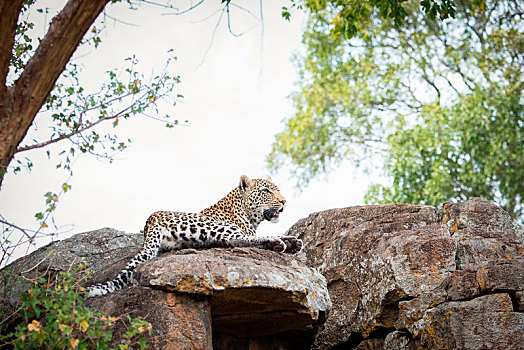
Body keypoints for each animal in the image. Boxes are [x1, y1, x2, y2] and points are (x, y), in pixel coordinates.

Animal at [86, 175, 302, 298]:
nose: (284, 201)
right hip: (214, 225)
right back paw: (277, 243)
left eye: (278, 191)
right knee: (234, 239)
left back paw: (290, 243)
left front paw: (293, 240)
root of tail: (151, 219)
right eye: (266, 191)